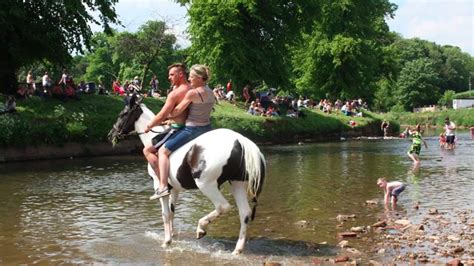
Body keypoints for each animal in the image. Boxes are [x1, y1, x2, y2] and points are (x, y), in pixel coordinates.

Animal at [107, 94, 266, 255]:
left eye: (122, 115)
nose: (111, 135)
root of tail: (241, 142)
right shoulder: (174, 188)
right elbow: (172, 212)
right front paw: (171, 237)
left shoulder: (159, 184)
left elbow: (165, 214)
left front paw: (166, 242)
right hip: (237, 183)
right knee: (244, 213)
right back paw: (237, 250)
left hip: (206, 184)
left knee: (223, 206)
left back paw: (201, 228)